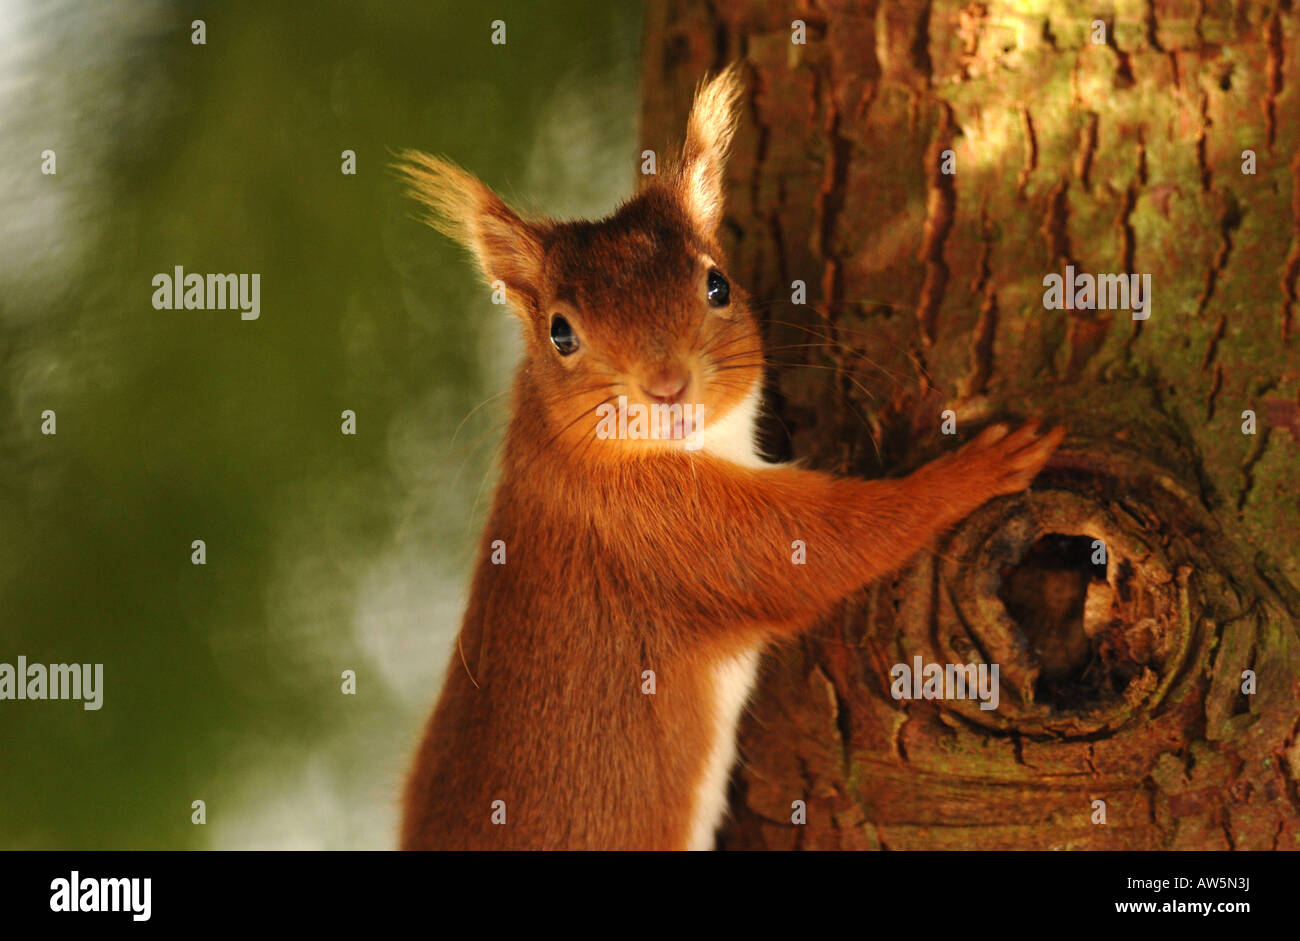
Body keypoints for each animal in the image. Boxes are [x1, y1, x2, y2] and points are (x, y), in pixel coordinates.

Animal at [395, 65, 1065, 851]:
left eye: (716, 283)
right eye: (560, 332)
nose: (666, 384)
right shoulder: (666, 532)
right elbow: (825, 547)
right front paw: (977, 470)